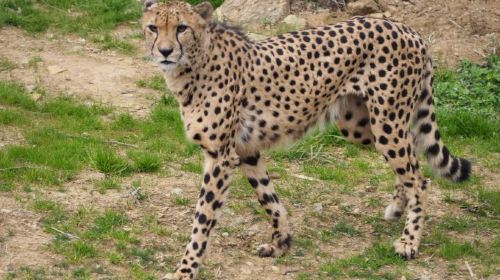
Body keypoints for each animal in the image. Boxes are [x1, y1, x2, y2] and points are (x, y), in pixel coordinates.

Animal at [142, 1, 472, 278]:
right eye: (153, 28)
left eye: (182, 27)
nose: (166, 51)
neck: (194, 63)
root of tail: (406, 28)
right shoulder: (247, 149)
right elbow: (269, 198)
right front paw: (281, 242)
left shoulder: (220, 157)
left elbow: (202, 219)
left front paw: (185, 270)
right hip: (361, 125)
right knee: (413, 155)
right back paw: (397, 208)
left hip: (387, 123)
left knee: (419, 177)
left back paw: (409, 241)